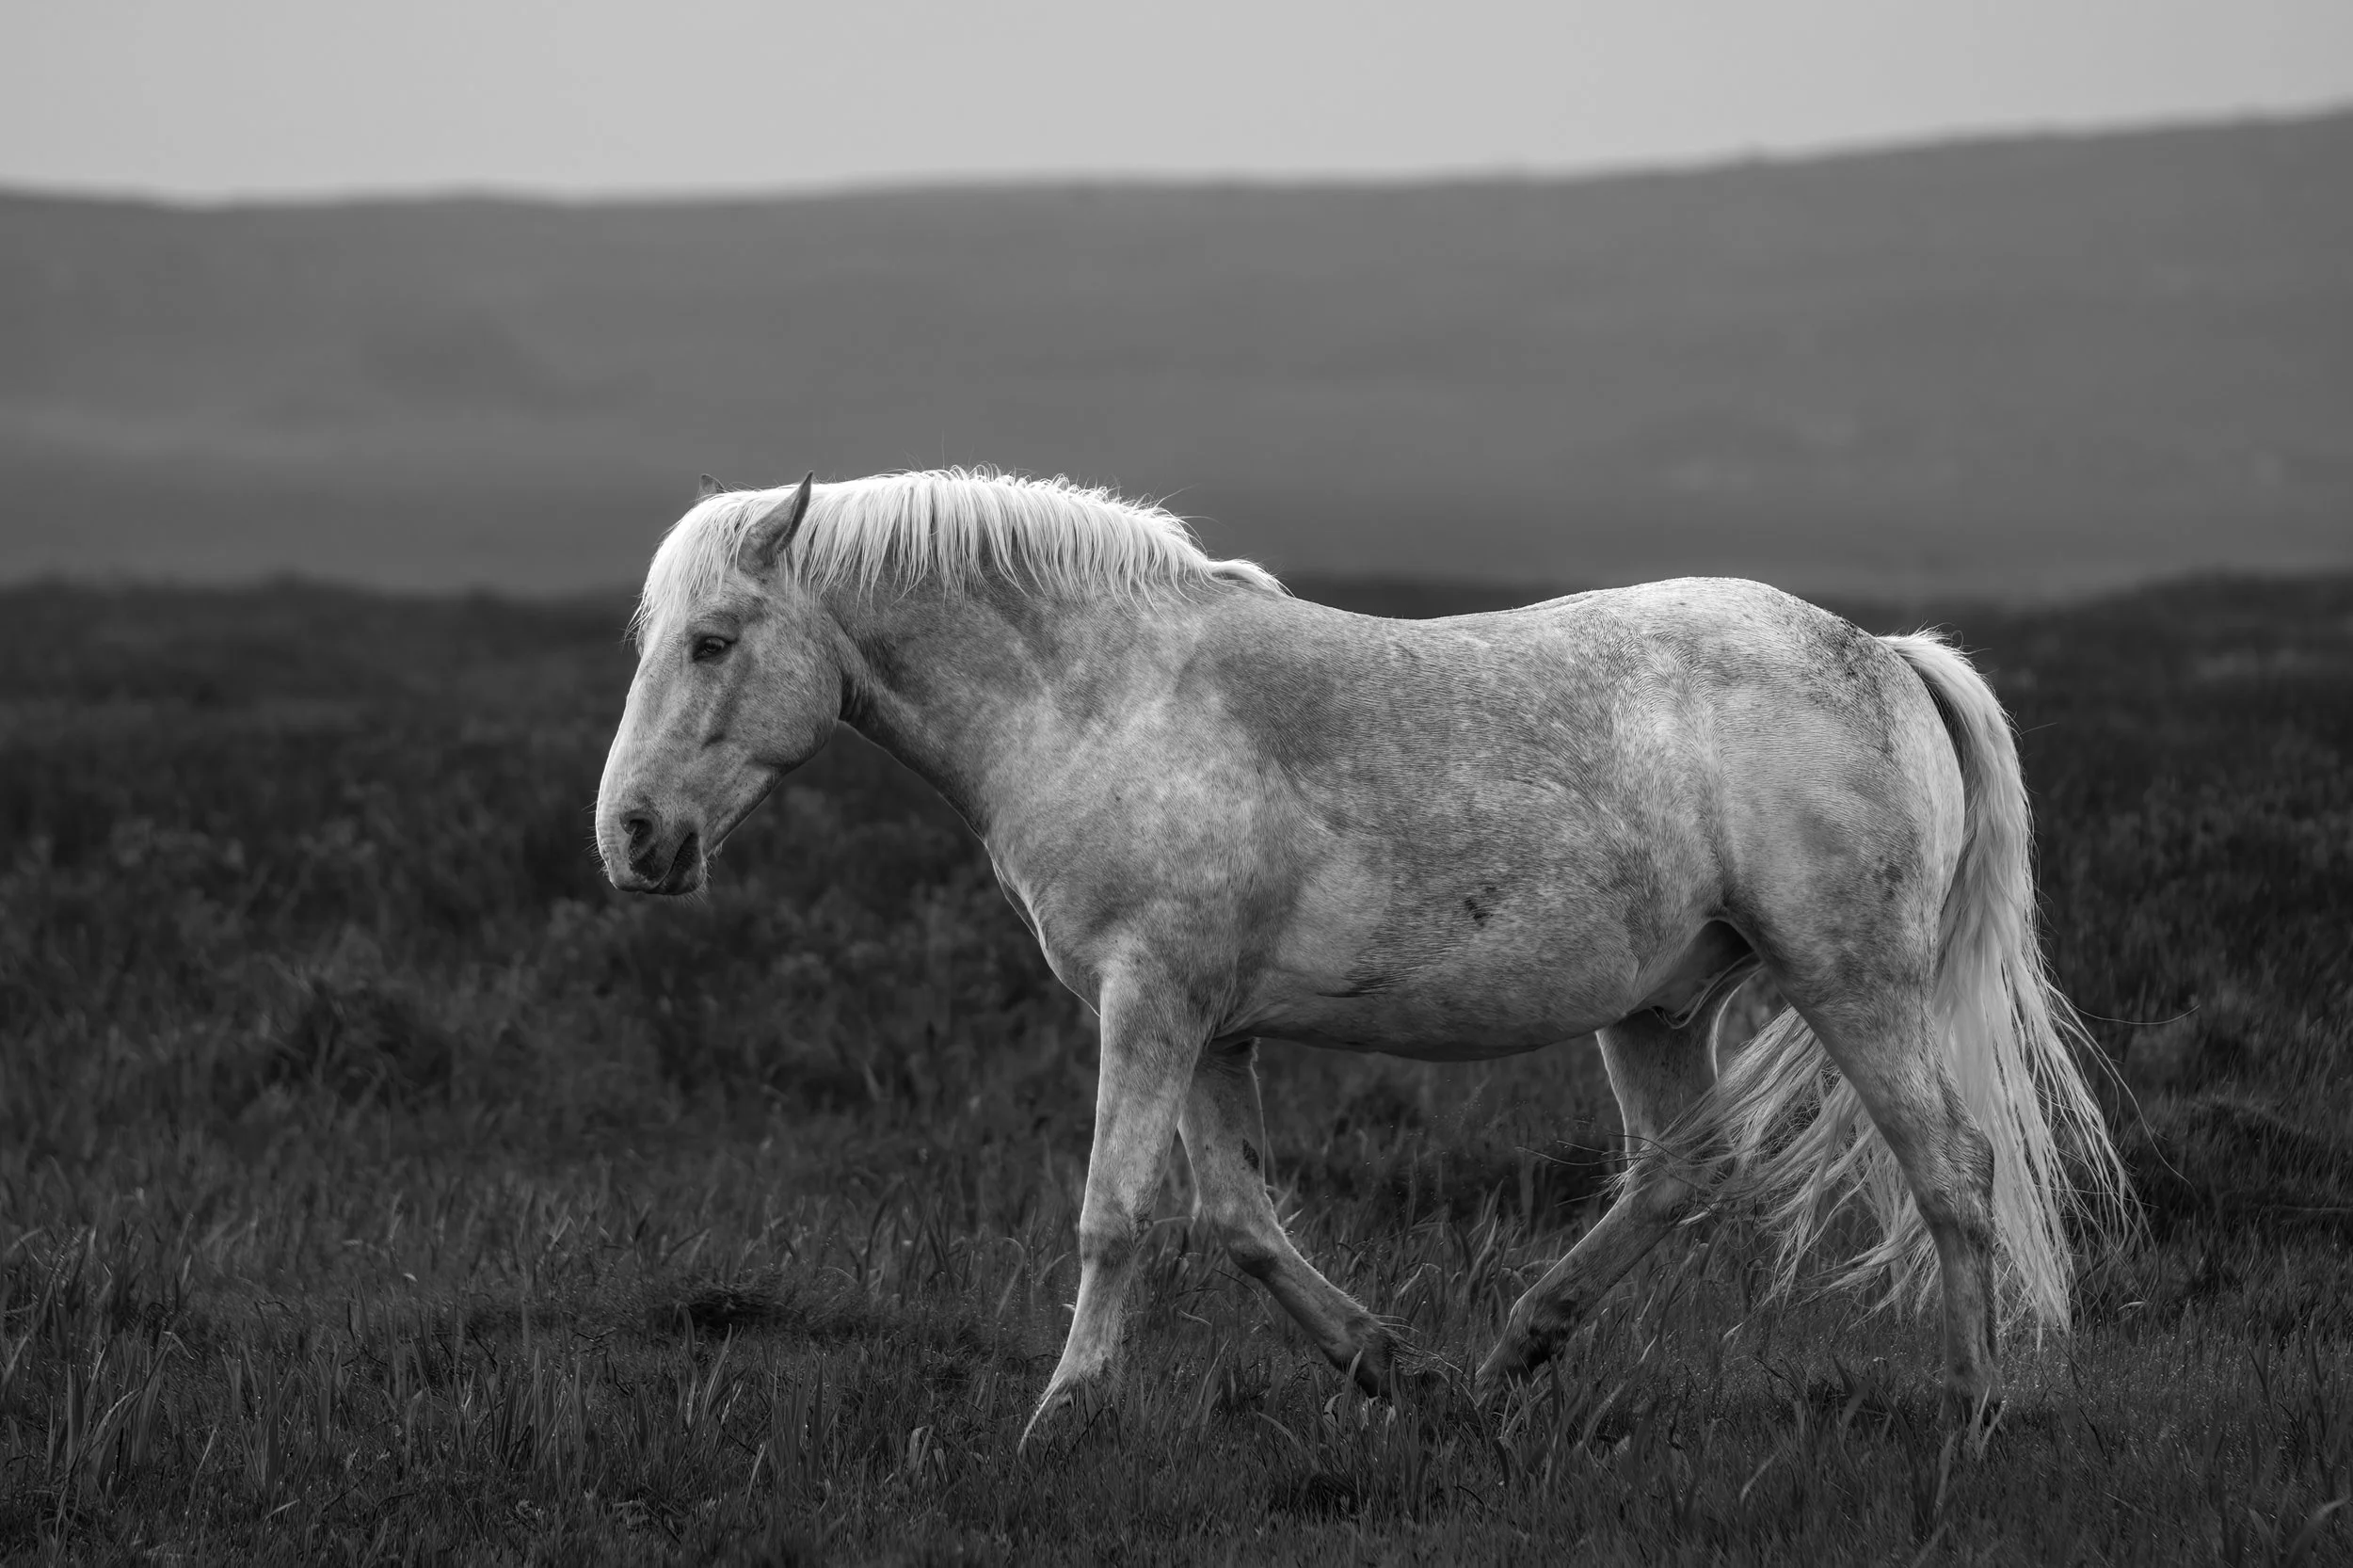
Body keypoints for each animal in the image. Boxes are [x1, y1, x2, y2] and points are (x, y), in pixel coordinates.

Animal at [593, 467, 2129, 1443]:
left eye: (714, 641)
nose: (633, 836)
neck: (1103, 701)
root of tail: (1886, 652)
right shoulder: (1210, 1027)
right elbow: (1236, 1222)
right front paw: (1391, 1370)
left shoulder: (1148, 1007)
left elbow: (1115, 1215)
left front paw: (1059, 1417)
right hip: (1658, 1006)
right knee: (1678, 1177)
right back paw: (1507, 1359)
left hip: (1850, 980)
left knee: (1954, 1171)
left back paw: (1977, 1412)